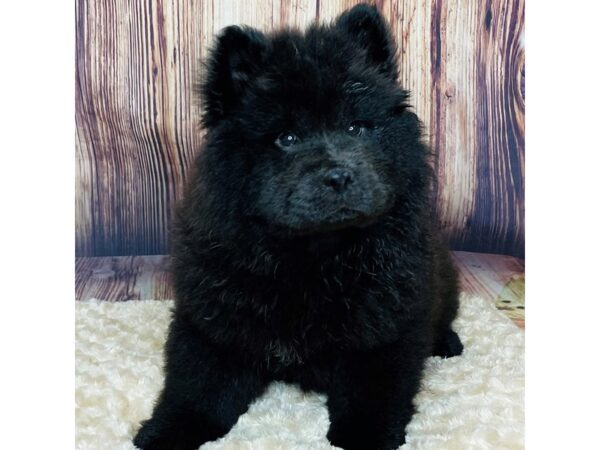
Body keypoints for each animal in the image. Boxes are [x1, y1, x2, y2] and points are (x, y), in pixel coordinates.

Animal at [135, 4, 464, 450]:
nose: (338, 175)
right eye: (286, 138)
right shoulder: (211, 323)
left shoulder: (386, 325)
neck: (311, 257)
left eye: (356, 127)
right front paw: (165, 432)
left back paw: (447, 343)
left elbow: (373, 391)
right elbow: (197, 387)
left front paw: (364, 437)